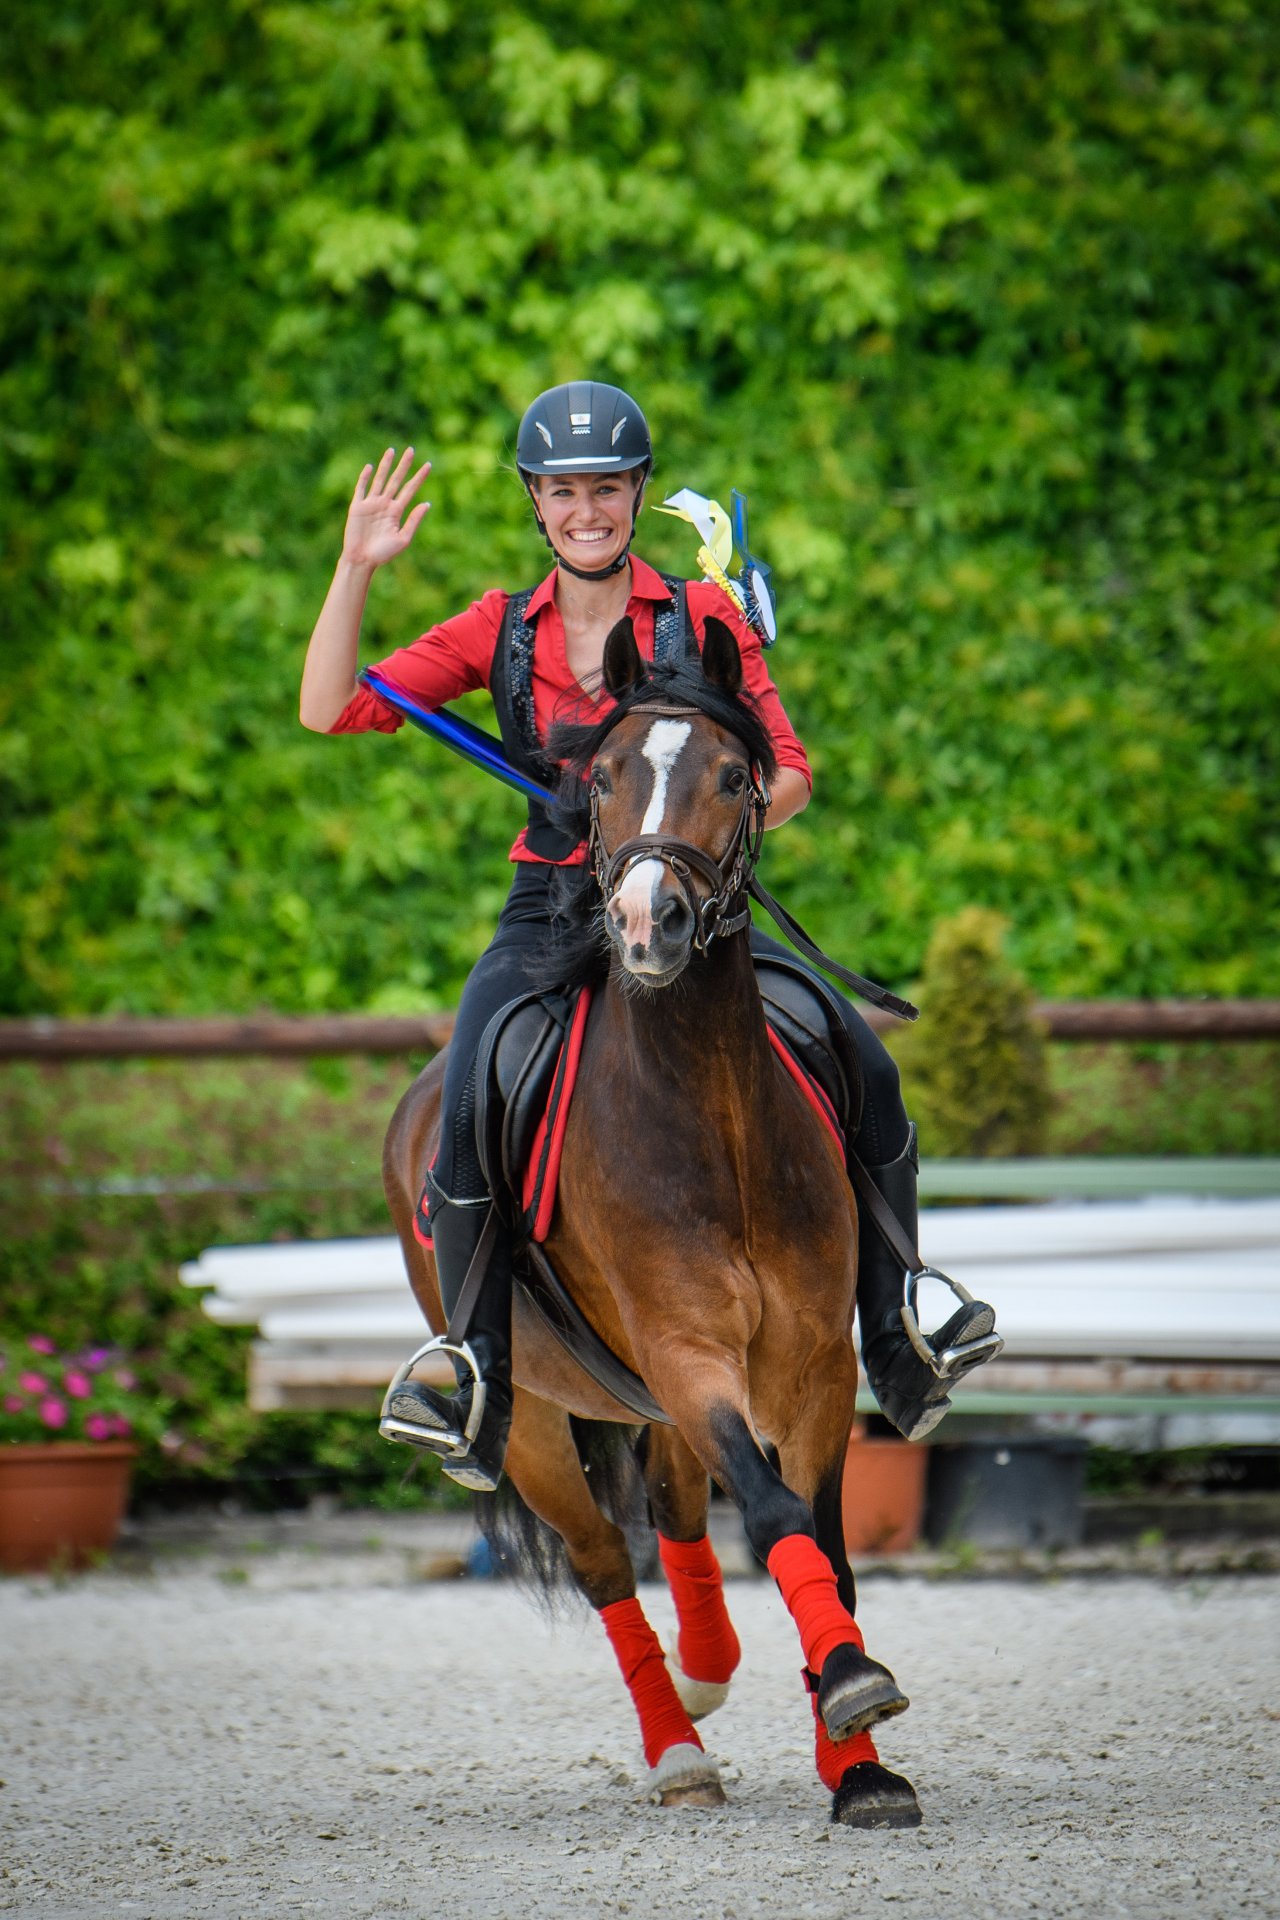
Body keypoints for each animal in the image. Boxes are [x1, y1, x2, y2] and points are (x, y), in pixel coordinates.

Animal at [379, 614, 921, 1827]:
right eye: (602, 777)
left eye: (733, 775)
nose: (645, 924)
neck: (711, 1115)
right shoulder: (681, 1351)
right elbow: (770, 1513)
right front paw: (850, 1689)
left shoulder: (812, 1365)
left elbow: (819, 1538)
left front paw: (857, 1763)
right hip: (536, 1421)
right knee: (603, 1566)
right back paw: (677, 1744)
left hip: (661, 1405)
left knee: (674, 1519)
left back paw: (708, 1670)